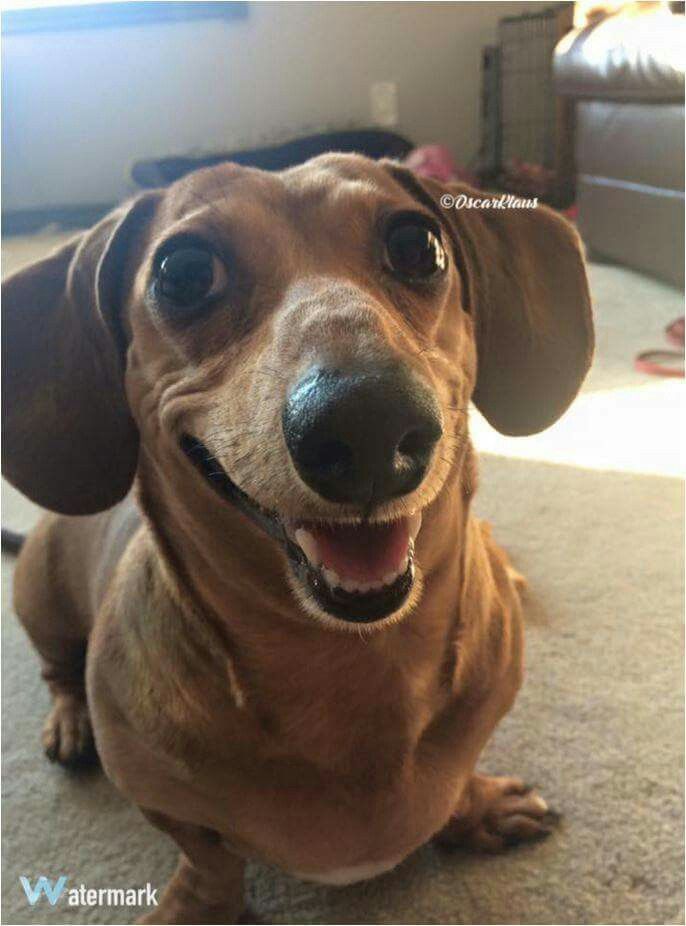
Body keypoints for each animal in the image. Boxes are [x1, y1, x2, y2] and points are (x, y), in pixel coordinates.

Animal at [2, 156, 592, 924]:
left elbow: (458, 779)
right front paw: (200, 905)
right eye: (183, 273)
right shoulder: (163, 800)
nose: (369, 424)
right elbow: (208, 856)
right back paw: (69, 721)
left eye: (418, 246)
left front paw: (476, 809)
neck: (352, 665)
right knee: (58, 669)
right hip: (40, 599)